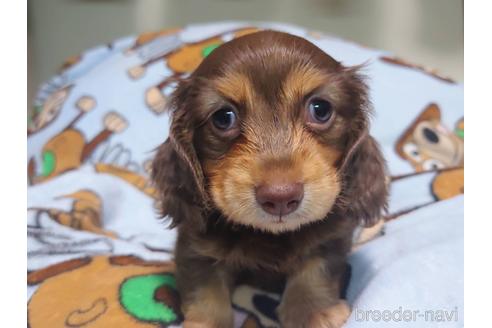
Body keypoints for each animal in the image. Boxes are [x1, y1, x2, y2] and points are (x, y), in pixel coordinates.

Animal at [152, 30, 386, 328]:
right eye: (223, 117)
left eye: (320, 109)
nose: (281, 197)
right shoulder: (195, 248)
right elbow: (206, 291)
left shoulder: (331, 238)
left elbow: (315, 271)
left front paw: (314, 312)